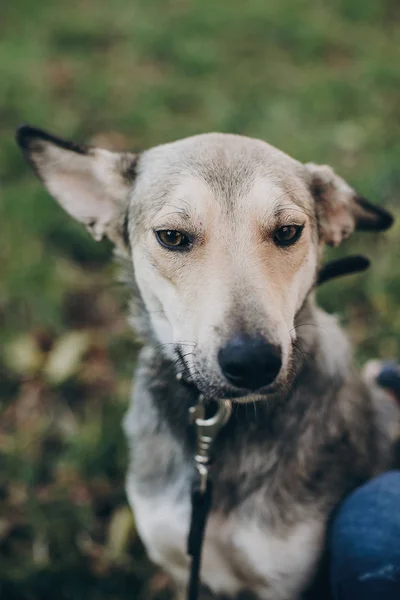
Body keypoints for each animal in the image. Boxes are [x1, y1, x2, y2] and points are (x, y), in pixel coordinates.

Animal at [15, 124, 396, 596]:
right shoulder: (181, 564)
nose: (252, 362)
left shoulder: (285, 580)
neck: (219, 427)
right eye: (172, 236)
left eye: (288, 231)